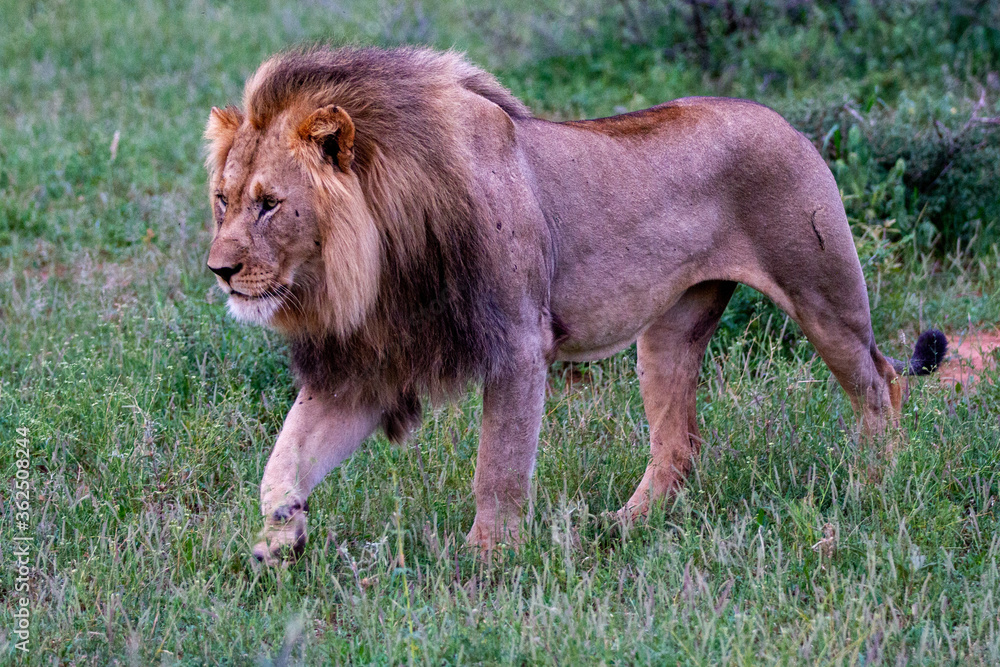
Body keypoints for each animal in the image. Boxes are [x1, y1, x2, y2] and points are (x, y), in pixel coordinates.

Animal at [204, 46, 946, 564]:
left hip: (822, 292)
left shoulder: (516, 345)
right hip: (669, 331)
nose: (220, 270)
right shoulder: (365, 366)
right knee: (679, 443)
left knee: (881, 383)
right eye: (223, 199)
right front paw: (278, 539)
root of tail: (787, 122)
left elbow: (498, 468)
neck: (378, 253)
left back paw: (871, 488)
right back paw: (621, 527)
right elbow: (284, 458)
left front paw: (485, 562)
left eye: (269, 204)